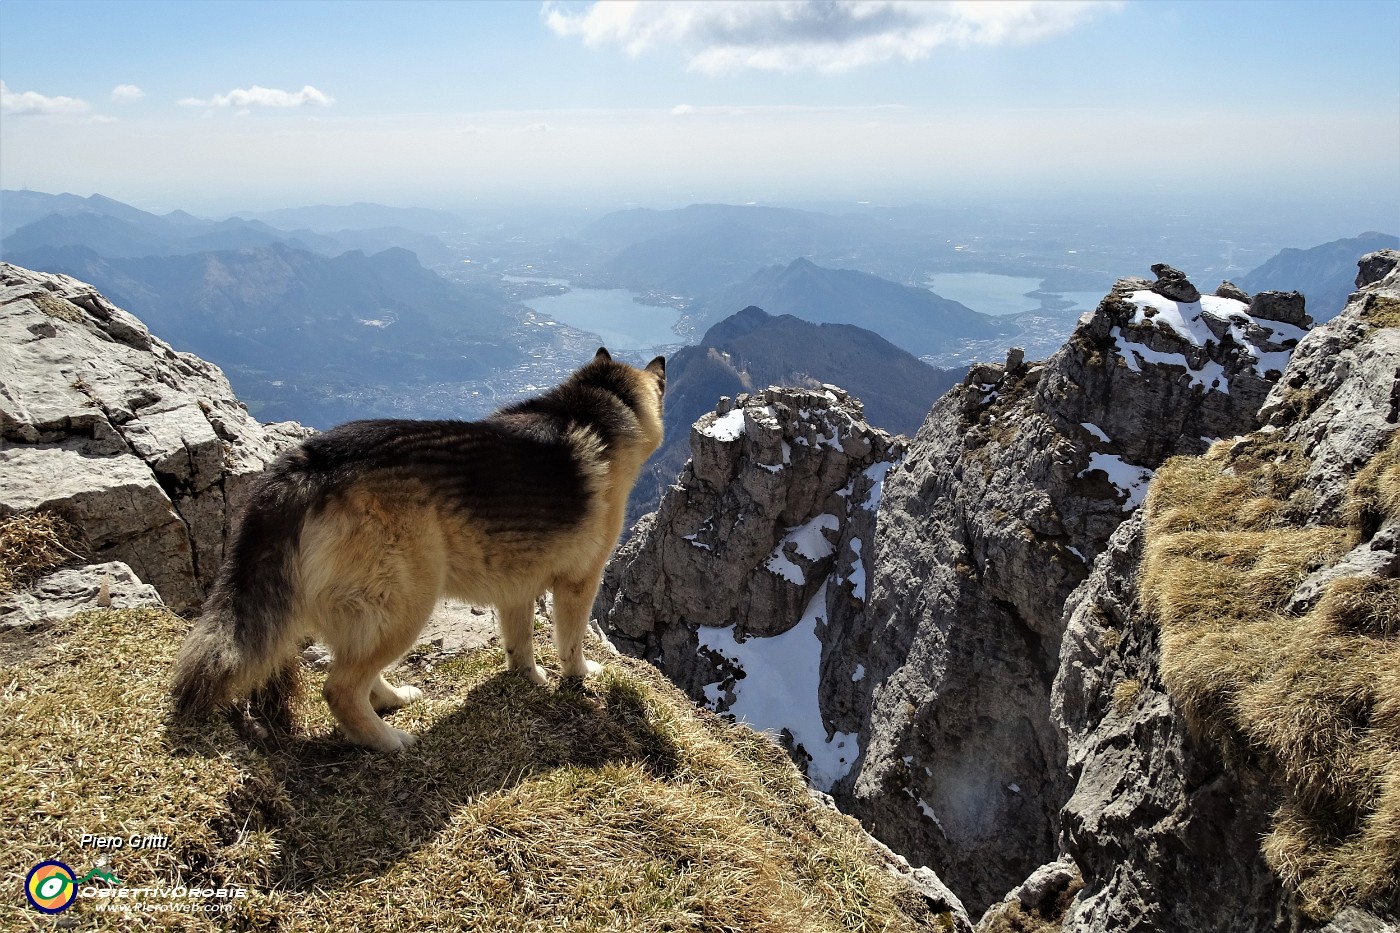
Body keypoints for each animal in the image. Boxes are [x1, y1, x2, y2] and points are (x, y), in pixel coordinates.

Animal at [170, 347, 666, 750]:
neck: (603, 402)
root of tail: (307, 464)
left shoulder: (516, 587)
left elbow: (520, 644)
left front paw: (529, 679)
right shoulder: (579, 583)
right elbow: (571, 641)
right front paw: (579, 675)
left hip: (370, 607)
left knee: (356, 672)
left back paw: (392, 700)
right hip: (408, 600)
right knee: (339, 688)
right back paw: (386, 741)